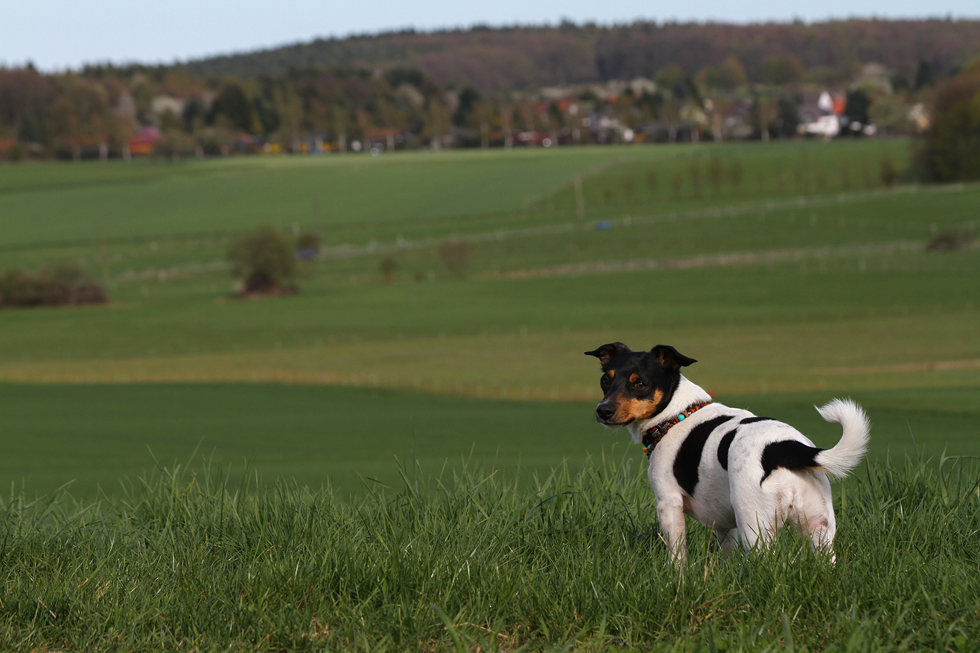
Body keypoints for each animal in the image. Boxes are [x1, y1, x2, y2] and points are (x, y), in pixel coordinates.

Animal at [584, 342, 868, 560]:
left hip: (754, 525)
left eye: (640, 384)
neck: (676, 414)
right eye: (605, 380)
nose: (603, 411)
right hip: (819, 528)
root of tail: (783, 447)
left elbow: (677, 556)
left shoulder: (668, 503)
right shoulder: (725, 524)